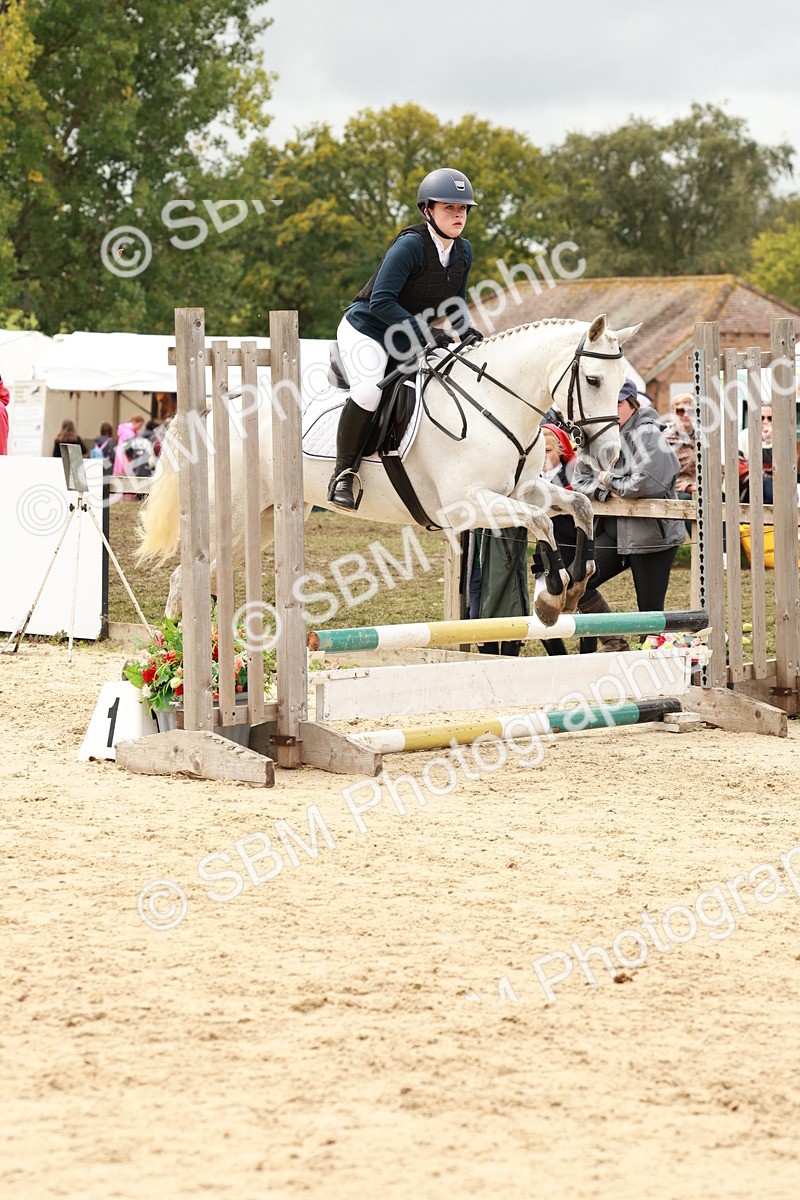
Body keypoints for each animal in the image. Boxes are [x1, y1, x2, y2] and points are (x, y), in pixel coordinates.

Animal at [140, 313, 639, 623]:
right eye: (593, 380)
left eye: (621, 381)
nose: (611, 456)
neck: (494, 404)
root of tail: (212, 411)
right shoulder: (465, 505)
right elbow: (542, 523)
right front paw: (553, 596)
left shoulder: (522, 490)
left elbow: (578, 509)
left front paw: (577, 583)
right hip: (230, 515)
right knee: (185, 578)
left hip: (260, 520)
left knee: (206, 577)